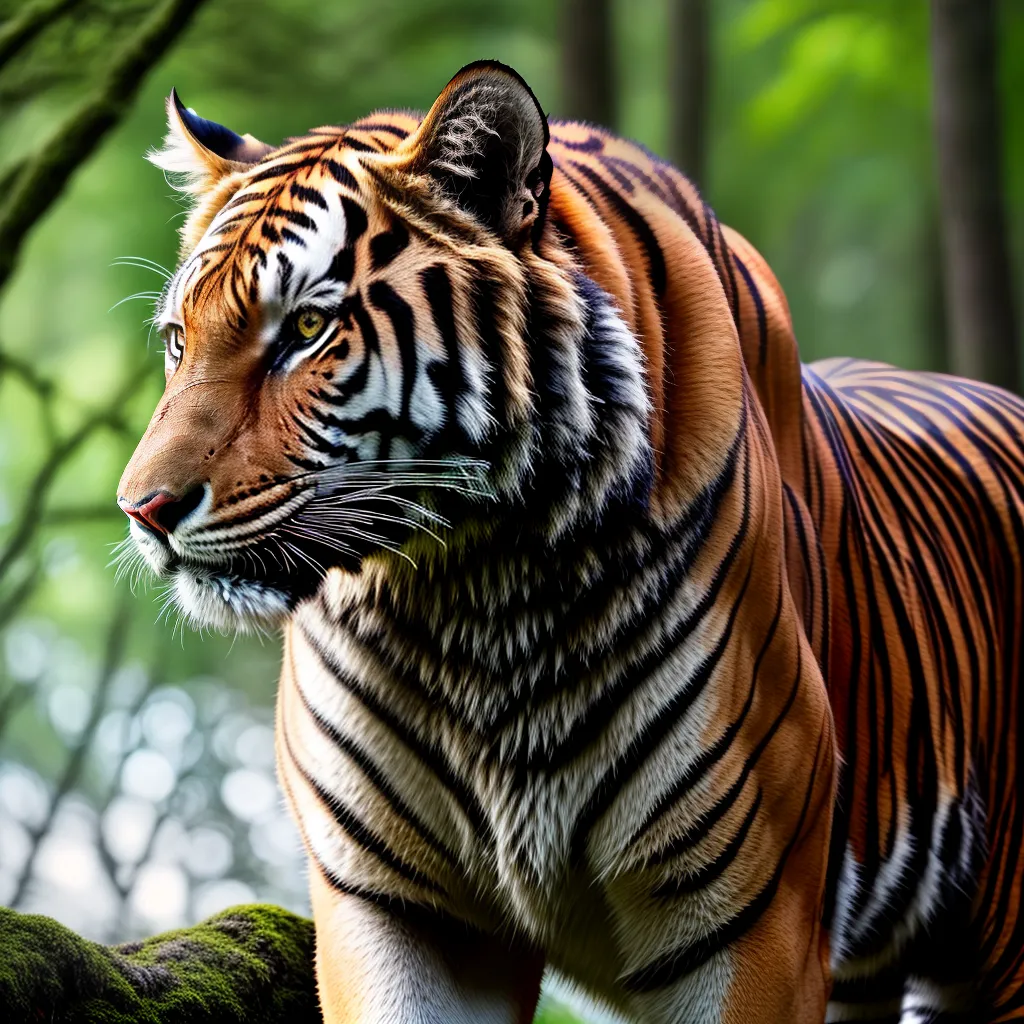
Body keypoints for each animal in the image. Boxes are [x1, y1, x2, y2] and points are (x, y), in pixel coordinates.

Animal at [116, 61, 1024, 1023]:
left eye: (303, 329)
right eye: (178, 340)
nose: (142, 510)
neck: (468, 590)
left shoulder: (750, 918)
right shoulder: (396, 907)